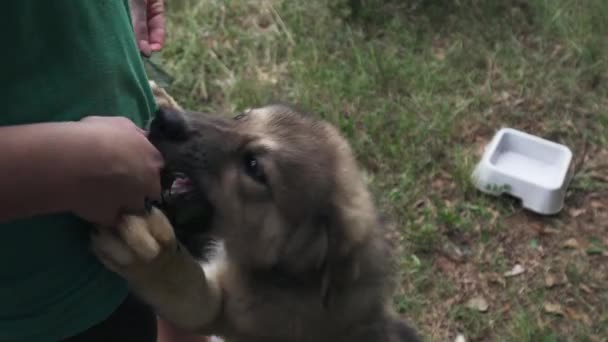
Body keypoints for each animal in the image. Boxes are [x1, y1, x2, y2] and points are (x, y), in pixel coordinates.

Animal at [90, 87, 420, 340]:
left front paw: (152, 257)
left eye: (254, 167)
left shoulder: (227, 313)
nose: (163, 120)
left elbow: (184, 286)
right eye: (240, 117)